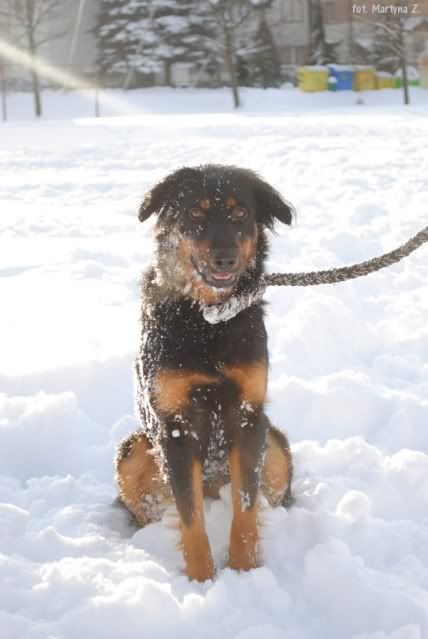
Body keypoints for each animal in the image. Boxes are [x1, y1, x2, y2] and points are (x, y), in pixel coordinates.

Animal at [116, 164, 294, 582]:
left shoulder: (249, 418)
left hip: (276, 443)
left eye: (240, 213)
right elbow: (190, 516)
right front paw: (202, 581)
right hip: (133, 450)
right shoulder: (175, 427)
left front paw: (244, 573)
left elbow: (245, 508)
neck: (208, 320)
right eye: (195, 213)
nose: (225, 259)